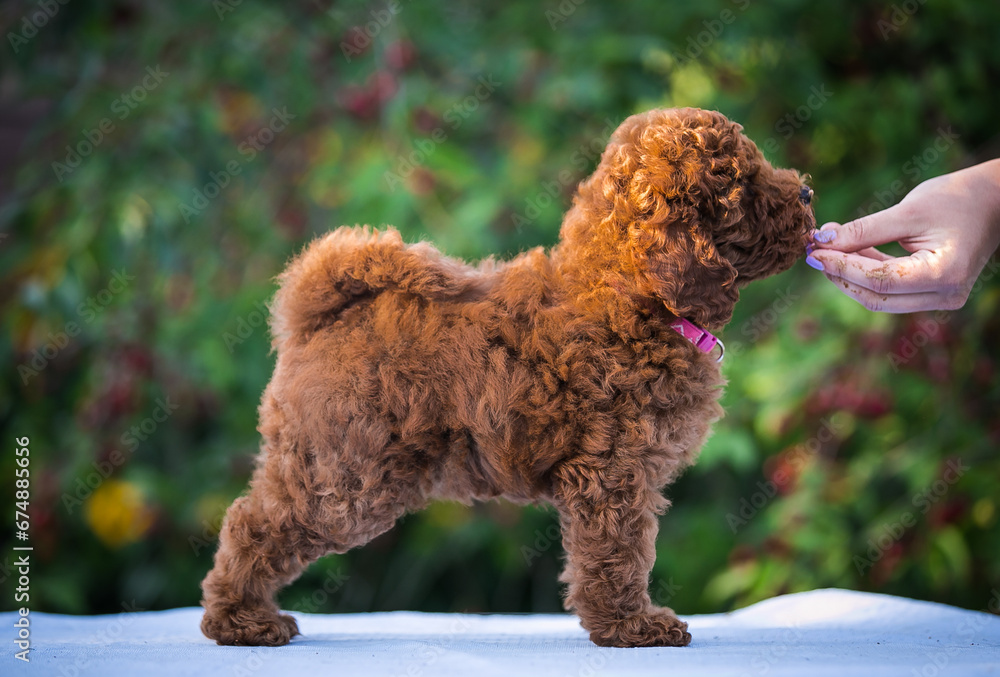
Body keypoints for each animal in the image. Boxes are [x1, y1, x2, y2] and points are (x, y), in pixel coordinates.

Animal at [201, 108, 812, 648]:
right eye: (742, 184)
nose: (806, 193)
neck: (627, 293)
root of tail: (320, 310)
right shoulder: (613, 472)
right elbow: (618, 554)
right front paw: (632, 628)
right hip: (347, 475)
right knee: (253, 524)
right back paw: (239, 620)